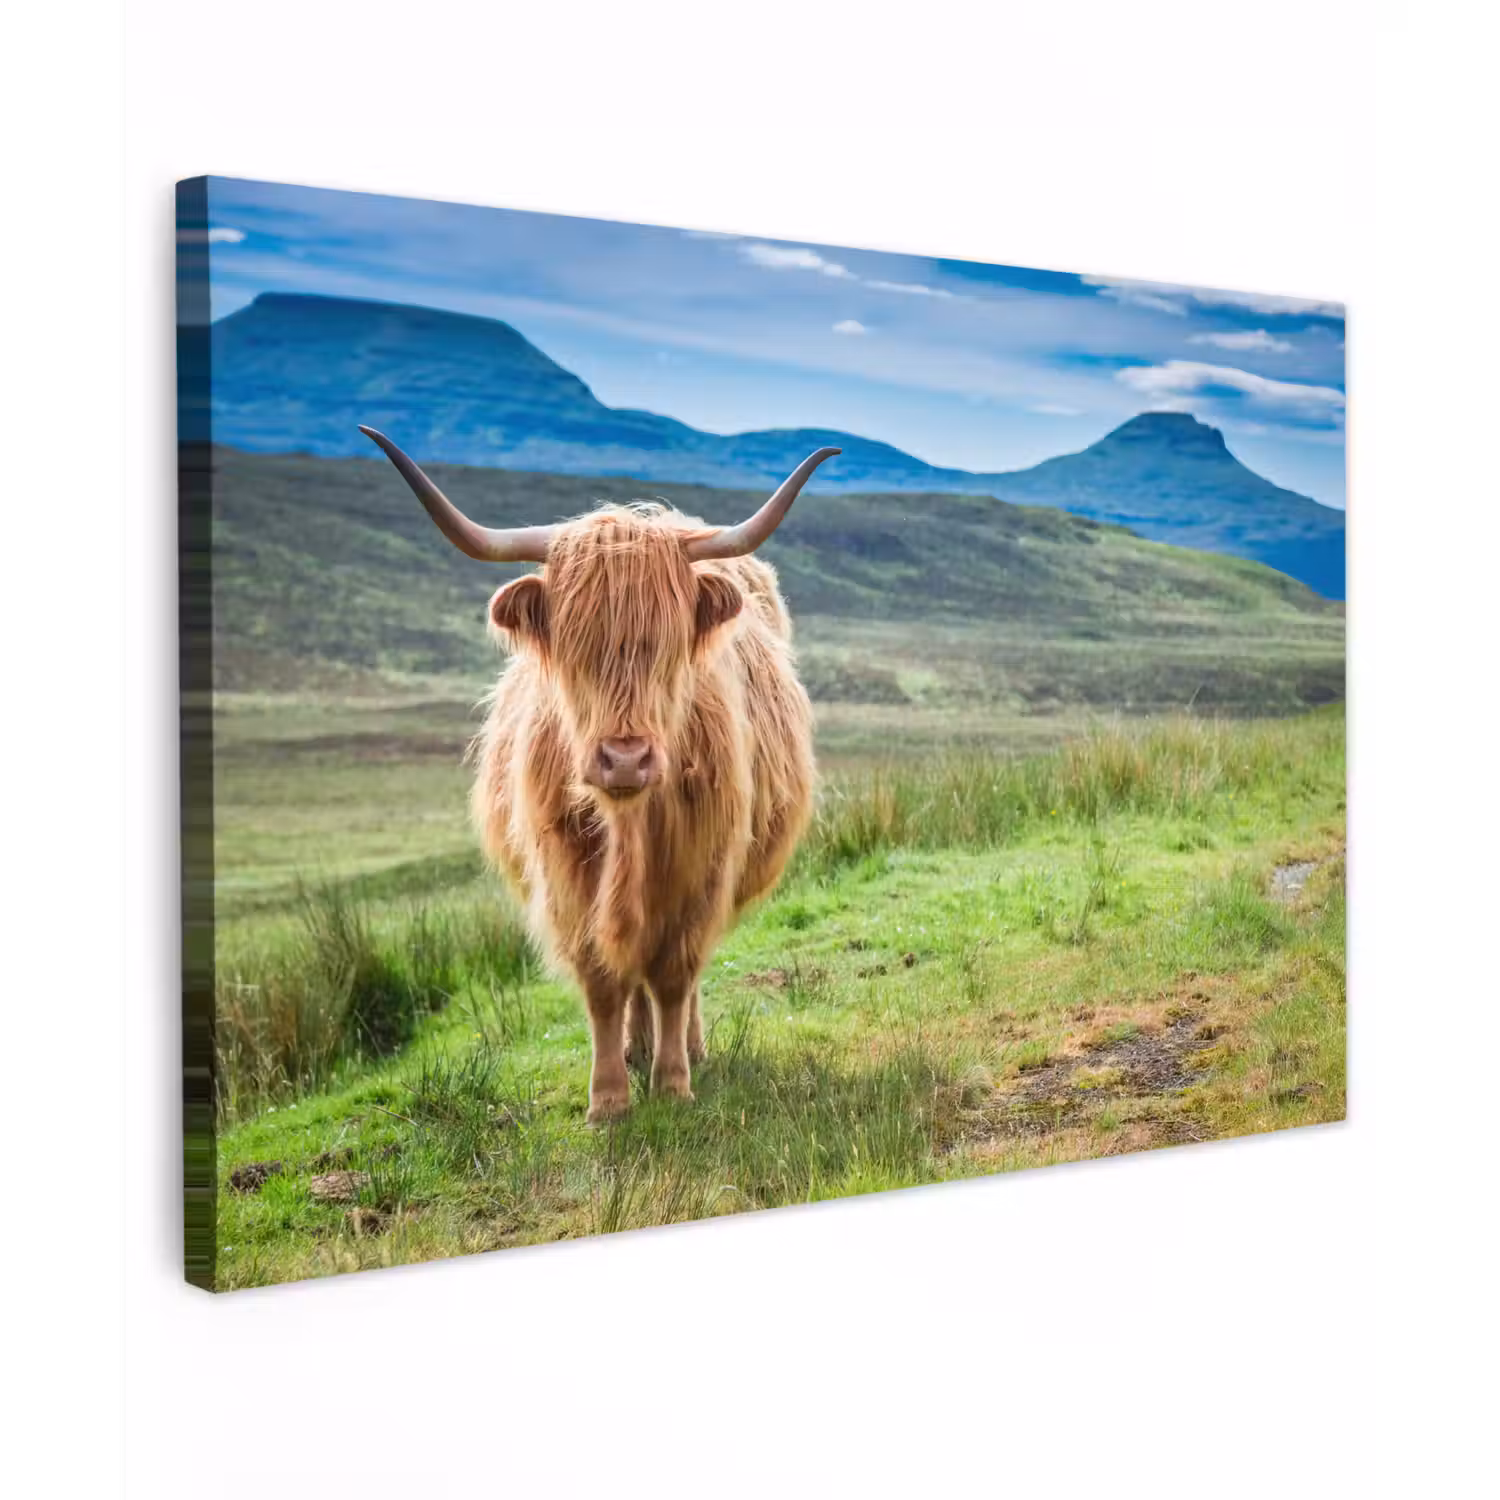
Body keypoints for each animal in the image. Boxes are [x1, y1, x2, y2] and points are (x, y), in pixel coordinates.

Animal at [359, 427, 836, 1122]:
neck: (629, 824)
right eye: (574, 645)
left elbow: (675, 974)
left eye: (667, 645)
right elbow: (604, 980)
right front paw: (609, 1098)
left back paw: (686, 1048)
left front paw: (673, 1083)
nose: (626, 758)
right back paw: (636, 1049)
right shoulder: (566, 874)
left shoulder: (702, 869)